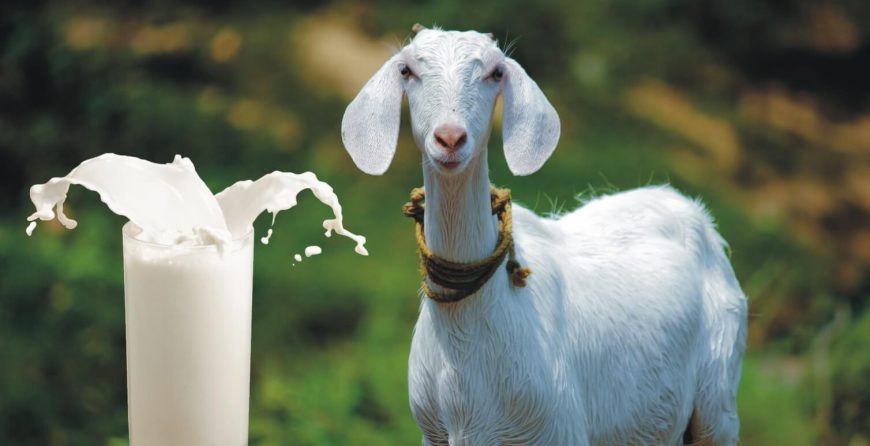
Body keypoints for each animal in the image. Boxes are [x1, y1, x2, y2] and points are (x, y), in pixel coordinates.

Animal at [341, 25, 747, 446]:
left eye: (496, 72)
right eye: (407, 70)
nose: (450, 139)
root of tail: (689, 207)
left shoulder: (560, 428)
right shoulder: (434, 433)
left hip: (719, 395)